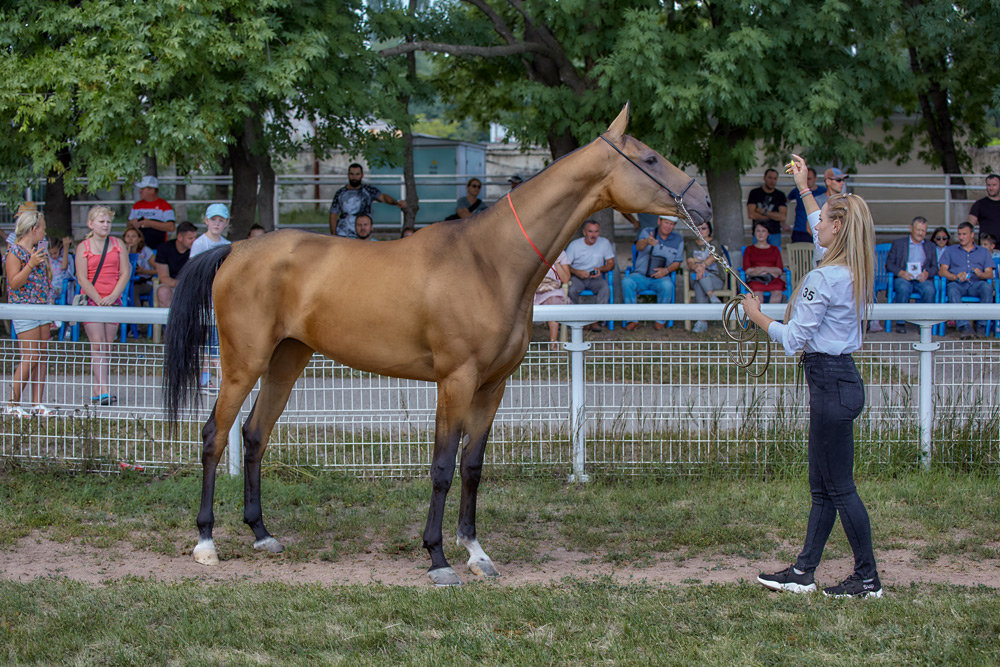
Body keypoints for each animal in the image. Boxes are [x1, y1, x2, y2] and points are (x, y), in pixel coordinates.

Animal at [164, 103, 712, 584]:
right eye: (649, 159)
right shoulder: (456, 381)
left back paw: (261, 533)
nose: (702, 205)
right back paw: (206, 542)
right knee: (215, 435)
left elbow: (472, 466)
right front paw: (437, 558)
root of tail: (236, 249)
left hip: (286, 360)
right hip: (243, 363)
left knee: (255, 435)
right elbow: (443, 467)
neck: (487, 261)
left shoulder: (492, 386)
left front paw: (477, 553)